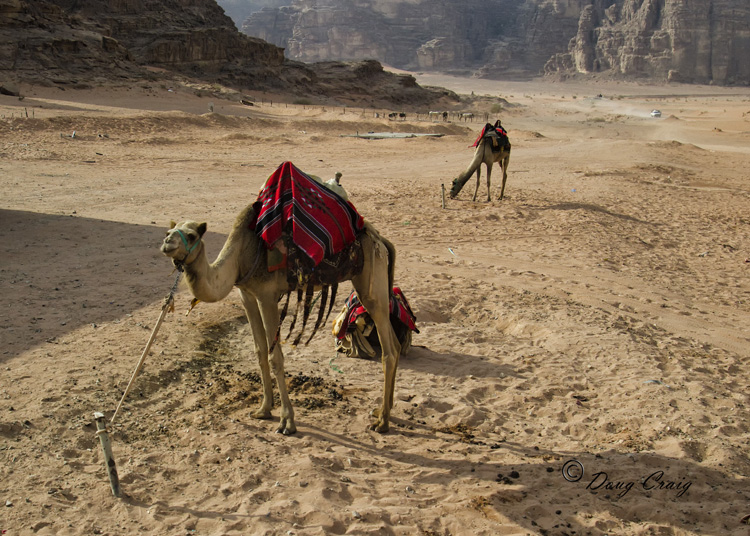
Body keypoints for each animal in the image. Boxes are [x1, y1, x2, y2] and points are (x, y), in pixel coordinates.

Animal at [160, 204, 401, 435]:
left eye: (191, 235)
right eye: (169, 231)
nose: (166, 243)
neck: (239, 257)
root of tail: (381, 240)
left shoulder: (267, 296)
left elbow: (275, 357)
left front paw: (287, 422)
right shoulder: (247, 295)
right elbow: (260, 353)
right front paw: (263, 410)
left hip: (370, 282)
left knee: (388, 351)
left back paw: (382, 422)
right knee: (395, 344)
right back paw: (383, 410)